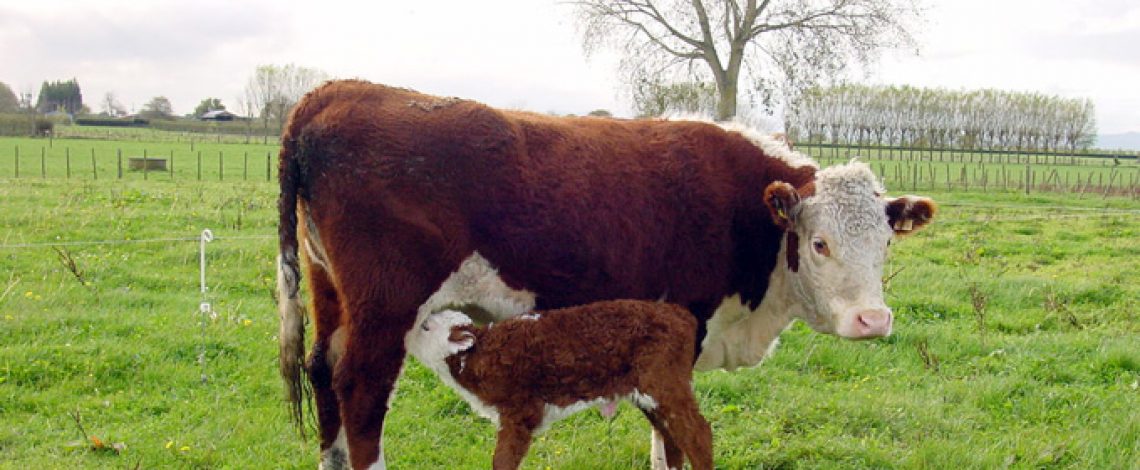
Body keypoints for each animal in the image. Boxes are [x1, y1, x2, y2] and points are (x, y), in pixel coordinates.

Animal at [405, 301, 706, 470]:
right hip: (647, 394)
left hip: (665, 382)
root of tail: (681, 314)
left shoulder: (519, 412)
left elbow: (502, 461)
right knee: (670, 436)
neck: (477, 356)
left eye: (426, 327)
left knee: (697, 433)